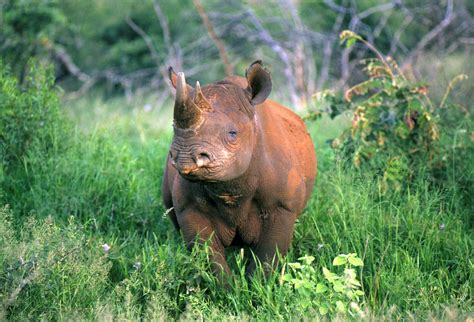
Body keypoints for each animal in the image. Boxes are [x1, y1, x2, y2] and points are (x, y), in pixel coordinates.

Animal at [163, 61, 318, 282]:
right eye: (173, 129)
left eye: (232, 134)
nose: (185, 157)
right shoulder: (189, 208)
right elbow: (209, 258)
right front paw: (226, 288)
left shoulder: (282, 207)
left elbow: (268, 256)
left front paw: (259, 286)